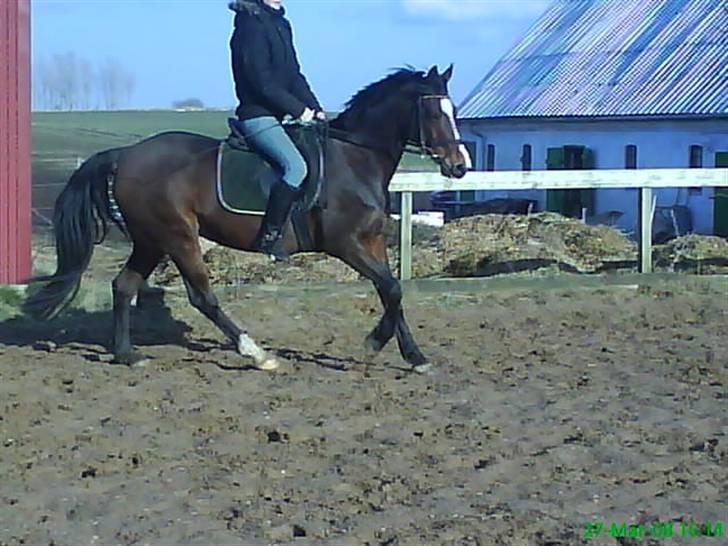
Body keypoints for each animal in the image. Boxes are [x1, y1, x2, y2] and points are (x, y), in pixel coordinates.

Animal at [25, 62, 470, 370]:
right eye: (435, 114)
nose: (460, 166)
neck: (355, 157)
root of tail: (126, 155)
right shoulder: (345, 244)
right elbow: (391, 289)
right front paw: (374, 343)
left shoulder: (372, 241)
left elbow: (392, 291)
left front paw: (415, 356)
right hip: (177, 236)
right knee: (202, 296)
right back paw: (256, 353)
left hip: (152, 240)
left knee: (123, 285)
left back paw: (126, 354)